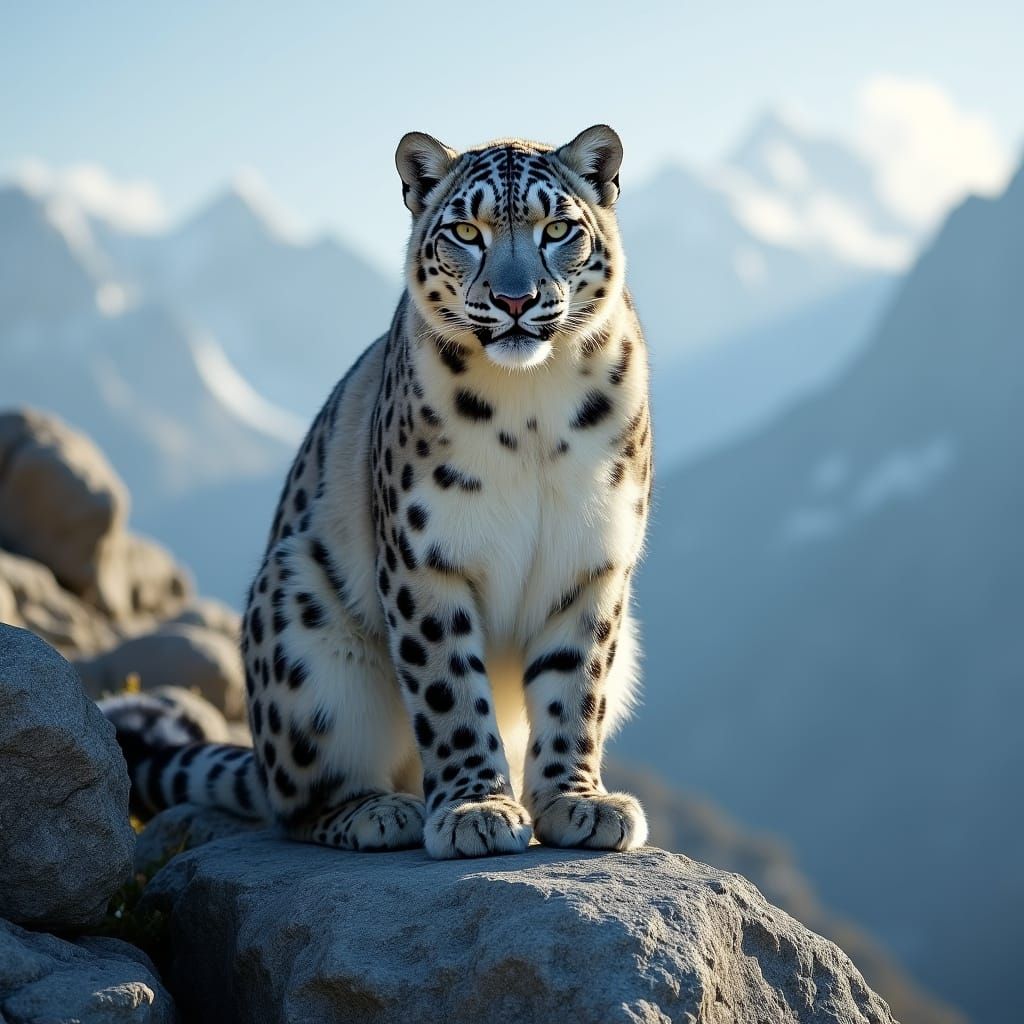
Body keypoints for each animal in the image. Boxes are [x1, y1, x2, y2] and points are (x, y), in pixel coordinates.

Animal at [103, 125, 654, 858]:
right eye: (467, 231)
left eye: (559, 228)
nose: (515, 301)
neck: (532, 407)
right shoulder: (427, 553)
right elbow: (450, 691)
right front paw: (477, 808)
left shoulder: (592, 557)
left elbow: (576, 686)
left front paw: (576, 801)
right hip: (300, 624)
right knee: (296, 801)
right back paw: (378, 811)